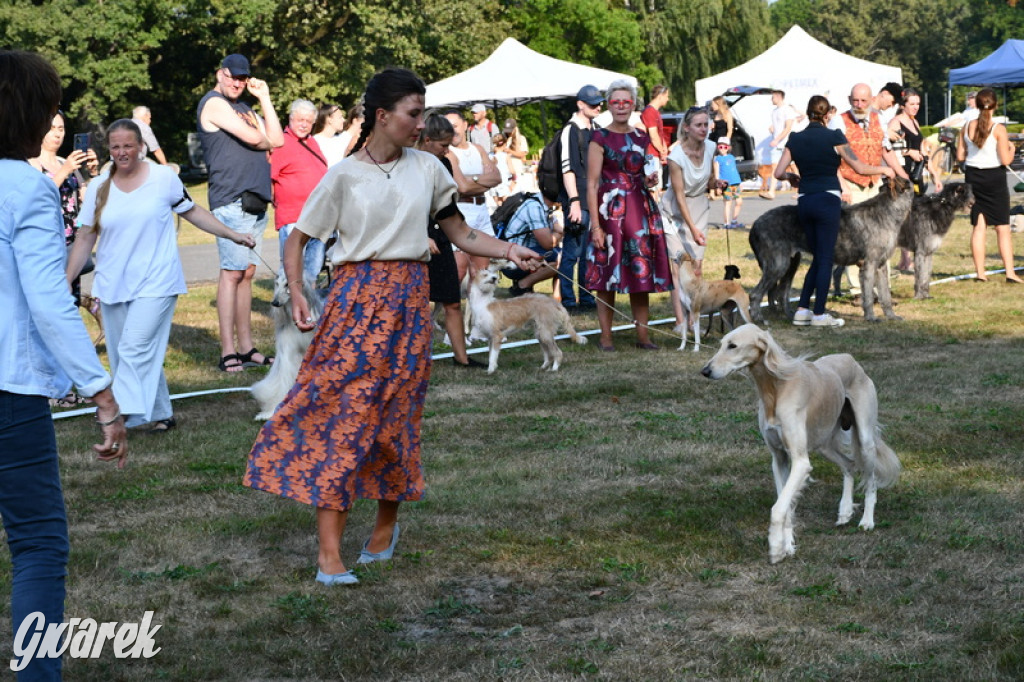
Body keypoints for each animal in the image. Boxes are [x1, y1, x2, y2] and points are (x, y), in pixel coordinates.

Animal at [251, 268, 323, 417]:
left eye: (287, 284)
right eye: (277, 283)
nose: (275, 303)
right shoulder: (287, 350)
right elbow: (283, 378)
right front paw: (272, 410)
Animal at [700, 323, 901, 561]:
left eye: (732, 346)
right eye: (721, 343)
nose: (705, 371)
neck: (775, 388)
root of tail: (850, 358)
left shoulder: (800, 462)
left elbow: (778, 508)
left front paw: (776, 547)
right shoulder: (779, 458)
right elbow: (786, 504)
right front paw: (787, 545)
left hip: (865, 440)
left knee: (871, 482)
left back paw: (867, 521)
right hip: (824, 443)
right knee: (849, 465)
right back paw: (844, 511)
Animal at [749, 176, 917, 323]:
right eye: (910, 184)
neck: (886, 211)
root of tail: (755, 224)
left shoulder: (881, 266)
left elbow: (885, 295)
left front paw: (892, 316)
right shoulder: (869, 264)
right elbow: (868, 296)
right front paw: (871, 317)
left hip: (791, 263)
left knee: (780, 292)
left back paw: (789, 315)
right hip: (778, 264)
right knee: (756, 294)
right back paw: (758, 318)